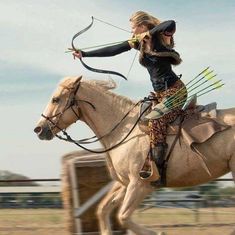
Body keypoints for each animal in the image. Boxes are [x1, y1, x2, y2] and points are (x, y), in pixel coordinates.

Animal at [33, 76, 235, 235]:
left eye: (56, 99)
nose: (39, 129)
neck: (124, 130)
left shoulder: (140, 185)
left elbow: (123, 217)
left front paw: (158, 232)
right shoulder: (125, 184)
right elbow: (103, 210)